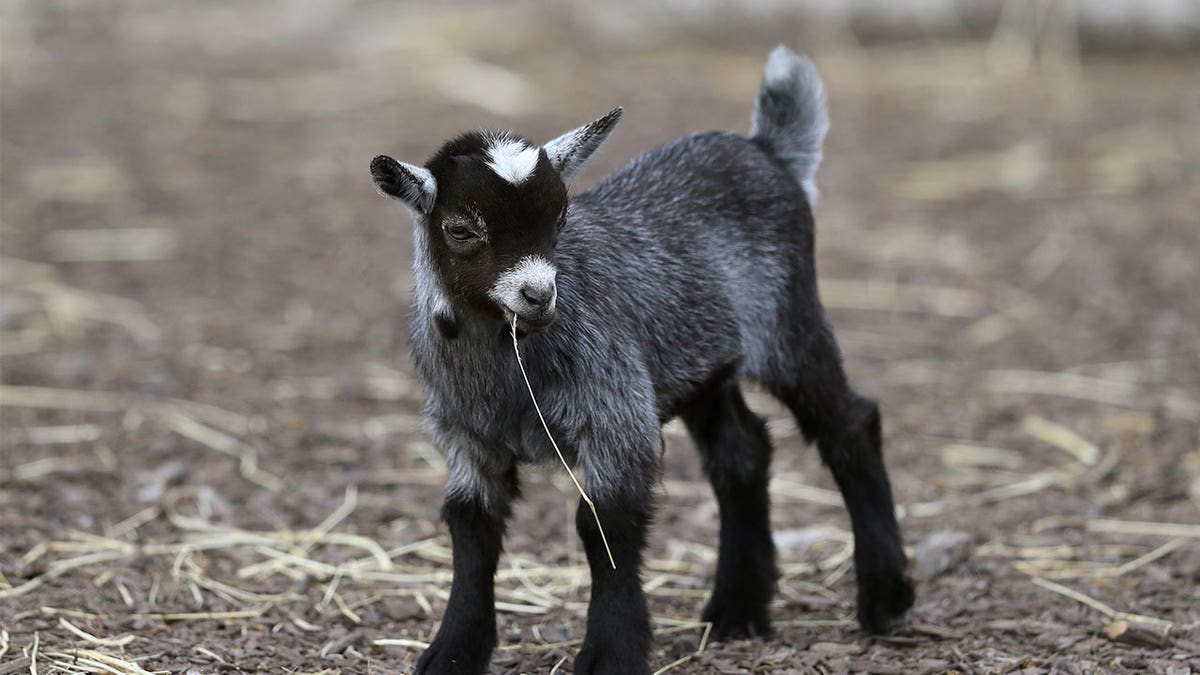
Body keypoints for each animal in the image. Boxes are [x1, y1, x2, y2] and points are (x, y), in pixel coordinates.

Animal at [369, 44, 912, 667]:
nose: (539, 295)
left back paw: (886, 598)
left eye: (560, 216)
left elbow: (603, 526)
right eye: (461, 229)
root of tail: (765, 150)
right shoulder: (467, 438)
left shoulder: (616, 414)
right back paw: (736, 611)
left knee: (849, 424)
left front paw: (611, 653)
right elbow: (471, 529)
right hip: (702, 362)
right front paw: (453, 651)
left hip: (788, 325)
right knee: (743, 452)